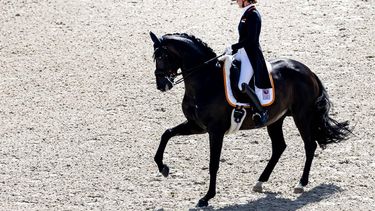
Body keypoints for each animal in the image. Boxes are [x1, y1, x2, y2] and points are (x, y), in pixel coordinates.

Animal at [151, 32, 352, 207]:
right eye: (155, 57)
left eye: (163, 56)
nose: (162, 85)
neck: (205, 80)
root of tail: (308, 71)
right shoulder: (197, 126)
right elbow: (166, 134)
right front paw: (163, 167)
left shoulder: (215, 131)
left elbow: (213, 164)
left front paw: (206, 197)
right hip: (275, 120)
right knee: (279, 146)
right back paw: (260, 182)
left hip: (302, 117)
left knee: (309, 145)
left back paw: (300, 184)